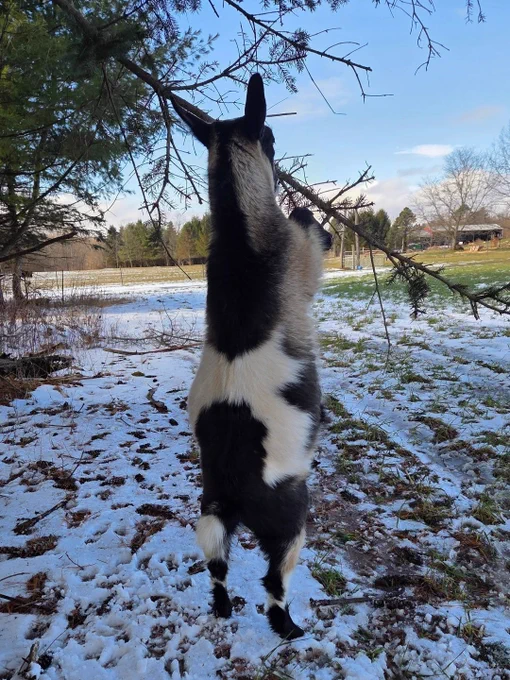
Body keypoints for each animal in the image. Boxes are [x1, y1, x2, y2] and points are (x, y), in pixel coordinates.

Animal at [172, 74, 328, 639]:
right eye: (272, 140)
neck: (240, 230)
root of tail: (233, 489)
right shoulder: (303, 257)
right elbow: (309, 230)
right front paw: (309, 211)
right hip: (290, 520)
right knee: (273, 581)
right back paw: (288, 627)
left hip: (210, 516)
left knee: (216, 566)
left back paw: (222, 606)